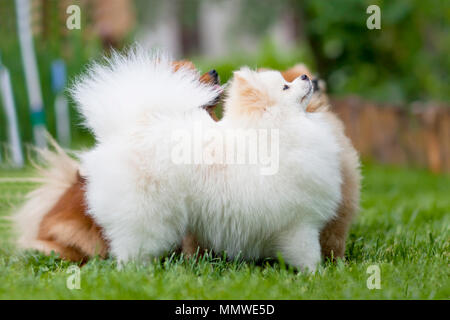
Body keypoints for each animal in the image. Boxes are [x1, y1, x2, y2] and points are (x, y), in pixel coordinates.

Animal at [74, 48, 342, 272]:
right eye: (285, 87)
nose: (306, 76)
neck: (275, 130)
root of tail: (130, 127)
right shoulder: (299, 224)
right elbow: (308, 254)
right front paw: (316, 275)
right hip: (147, 215)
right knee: (133, 248)